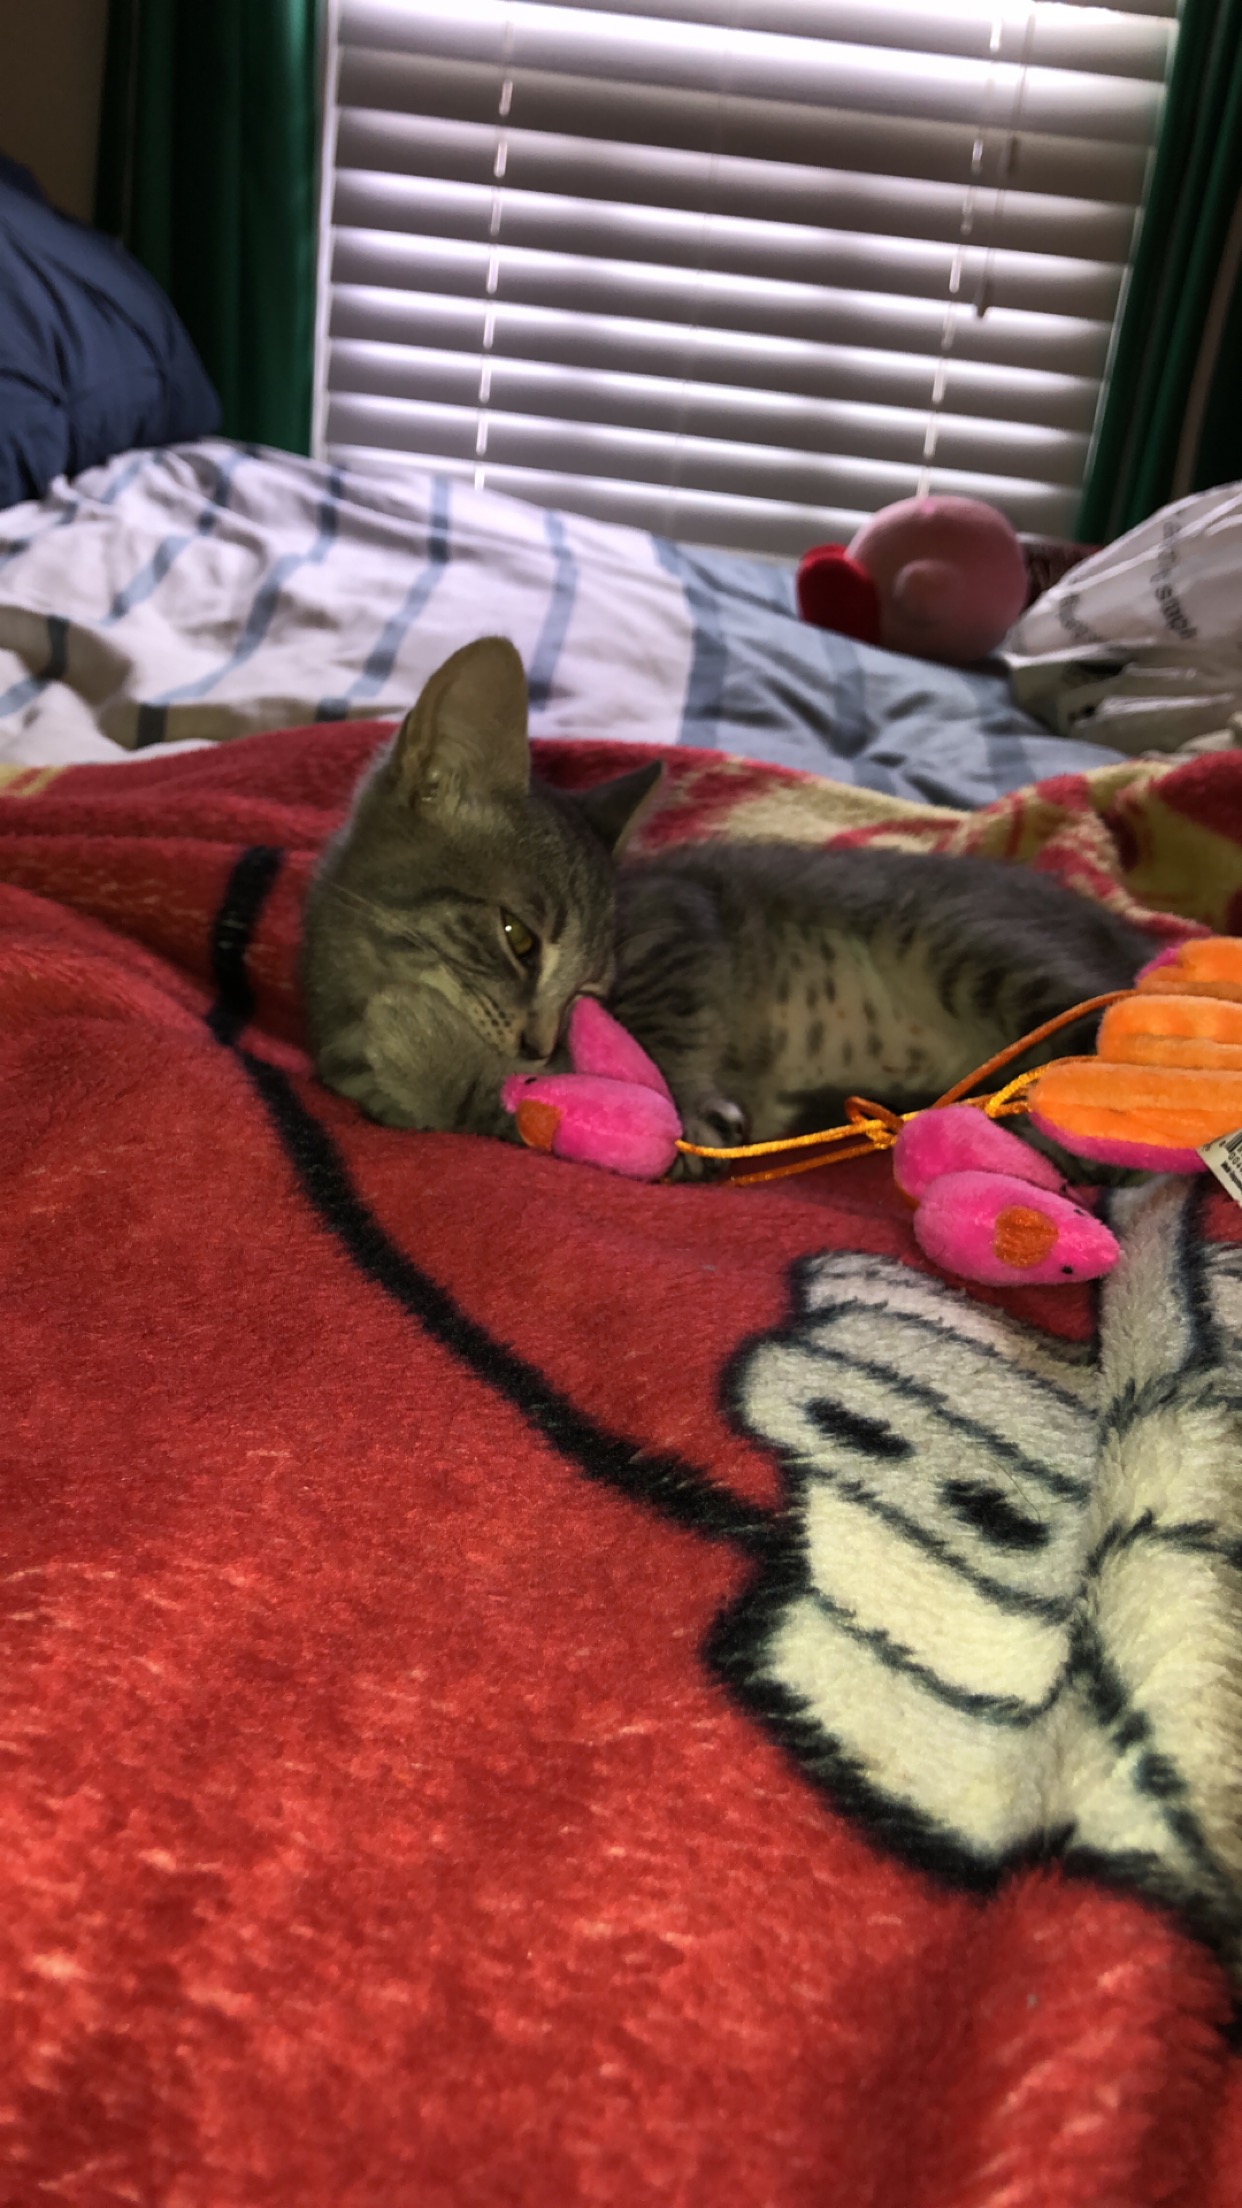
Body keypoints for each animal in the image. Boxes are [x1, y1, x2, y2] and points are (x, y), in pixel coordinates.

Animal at [300, 635, 1152, 1157]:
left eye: (590, 988)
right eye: (518, 939)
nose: (539, 1045)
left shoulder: (680, 915)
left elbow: (654, 1057)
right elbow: (496, 1111)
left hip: (972, 946)